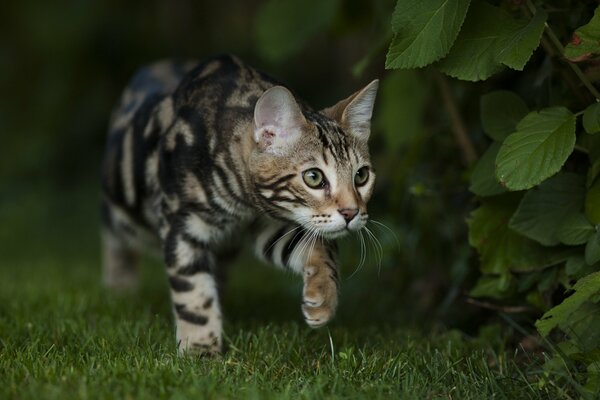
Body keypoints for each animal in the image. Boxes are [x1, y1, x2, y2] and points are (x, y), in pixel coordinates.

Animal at [101, 54, 378, 356]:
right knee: (114, 234)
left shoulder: (266, 224)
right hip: (124, 210)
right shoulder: (182, 225)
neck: (244, 202)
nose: (351, 212)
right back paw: (120, 285)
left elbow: (319, 246)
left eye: (361, 176)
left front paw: (323, 296)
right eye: (314, 177)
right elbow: (193, 293)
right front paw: (199, 351)